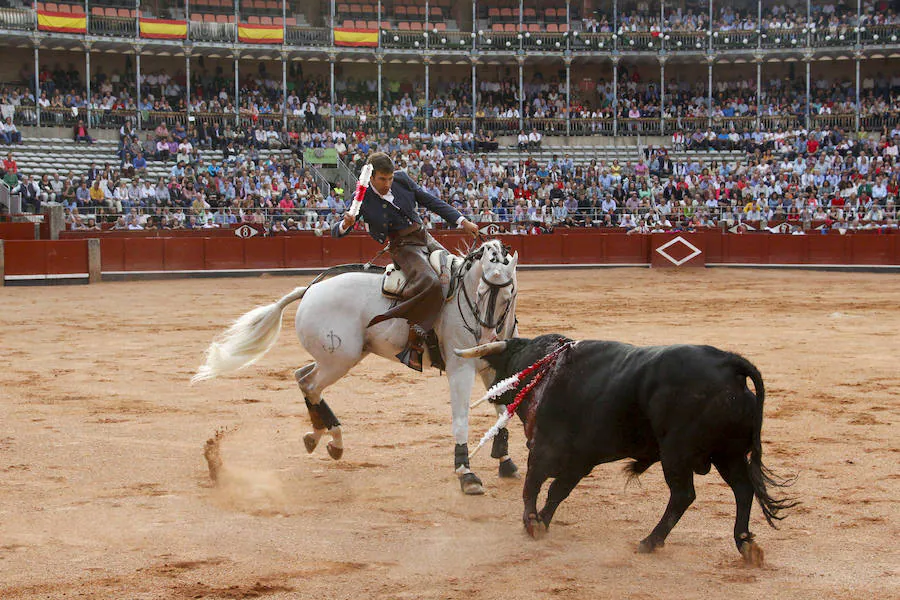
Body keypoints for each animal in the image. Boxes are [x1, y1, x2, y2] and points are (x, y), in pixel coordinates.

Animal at [197, 237, 520, 494]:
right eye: (480, 293)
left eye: (509, 294)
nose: (486, 338)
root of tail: (310, 289)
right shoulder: (459, 370)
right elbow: (461, 418)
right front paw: (466, 473)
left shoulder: (491, 369)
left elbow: (504, 411)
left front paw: (505, 461)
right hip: (341, 358)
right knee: (311, 383)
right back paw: (334, 440)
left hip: (337, 357)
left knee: (302, 377)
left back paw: (318, 436)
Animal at [460, 336, 800, 560]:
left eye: (506, 367)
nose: (493, 394)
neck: (548, 370)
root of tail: (729, 365)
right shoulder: (580, 460)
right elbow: (558, 491)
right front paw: (542, 520)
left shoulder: (546, 448)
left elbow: (532, 485)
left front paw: (531, 522)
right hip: (728, 454)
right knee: (743, 489)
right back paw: (745, 543)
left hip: (677, 454)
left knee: (683, 495)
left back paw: (651, 541)